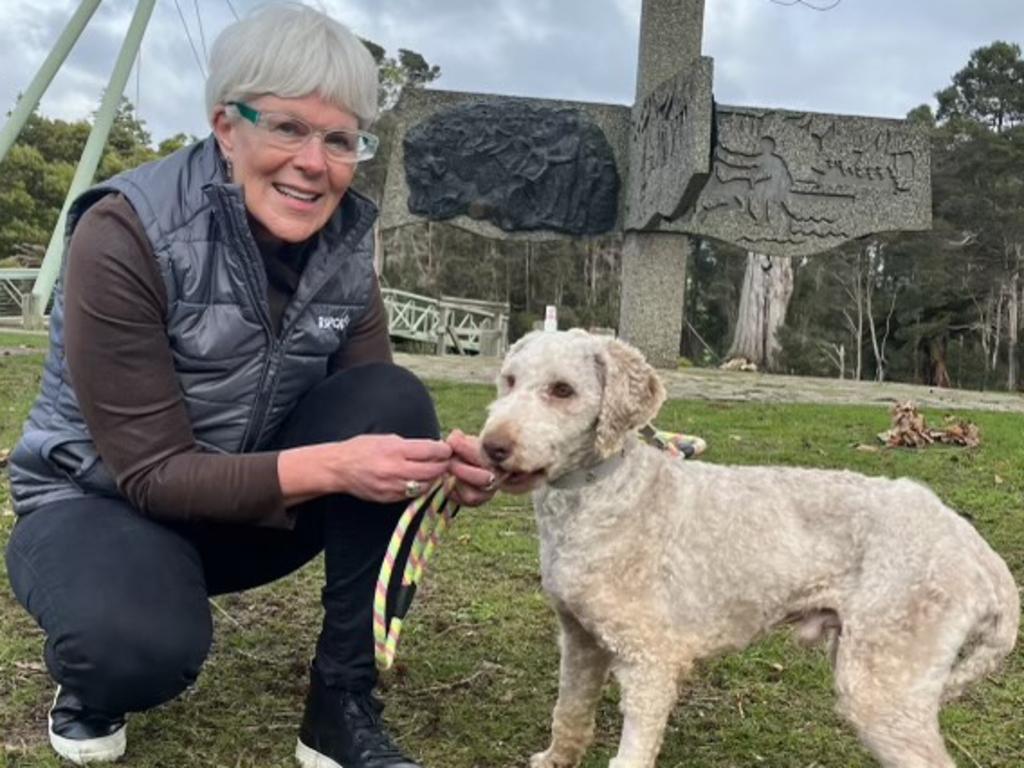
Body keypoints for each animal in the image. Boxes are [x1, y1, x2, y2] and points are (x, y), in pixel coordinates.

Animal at [483, 331, 1019, 768]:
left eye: (562, 390)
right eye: (508, 381)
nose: (491, 446)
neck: (605, 492)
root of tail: (976, 549)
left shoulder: (648, 662)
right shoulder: (580, 639)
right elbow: (569, 712)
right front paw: (555, 758)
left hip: (883, 682)